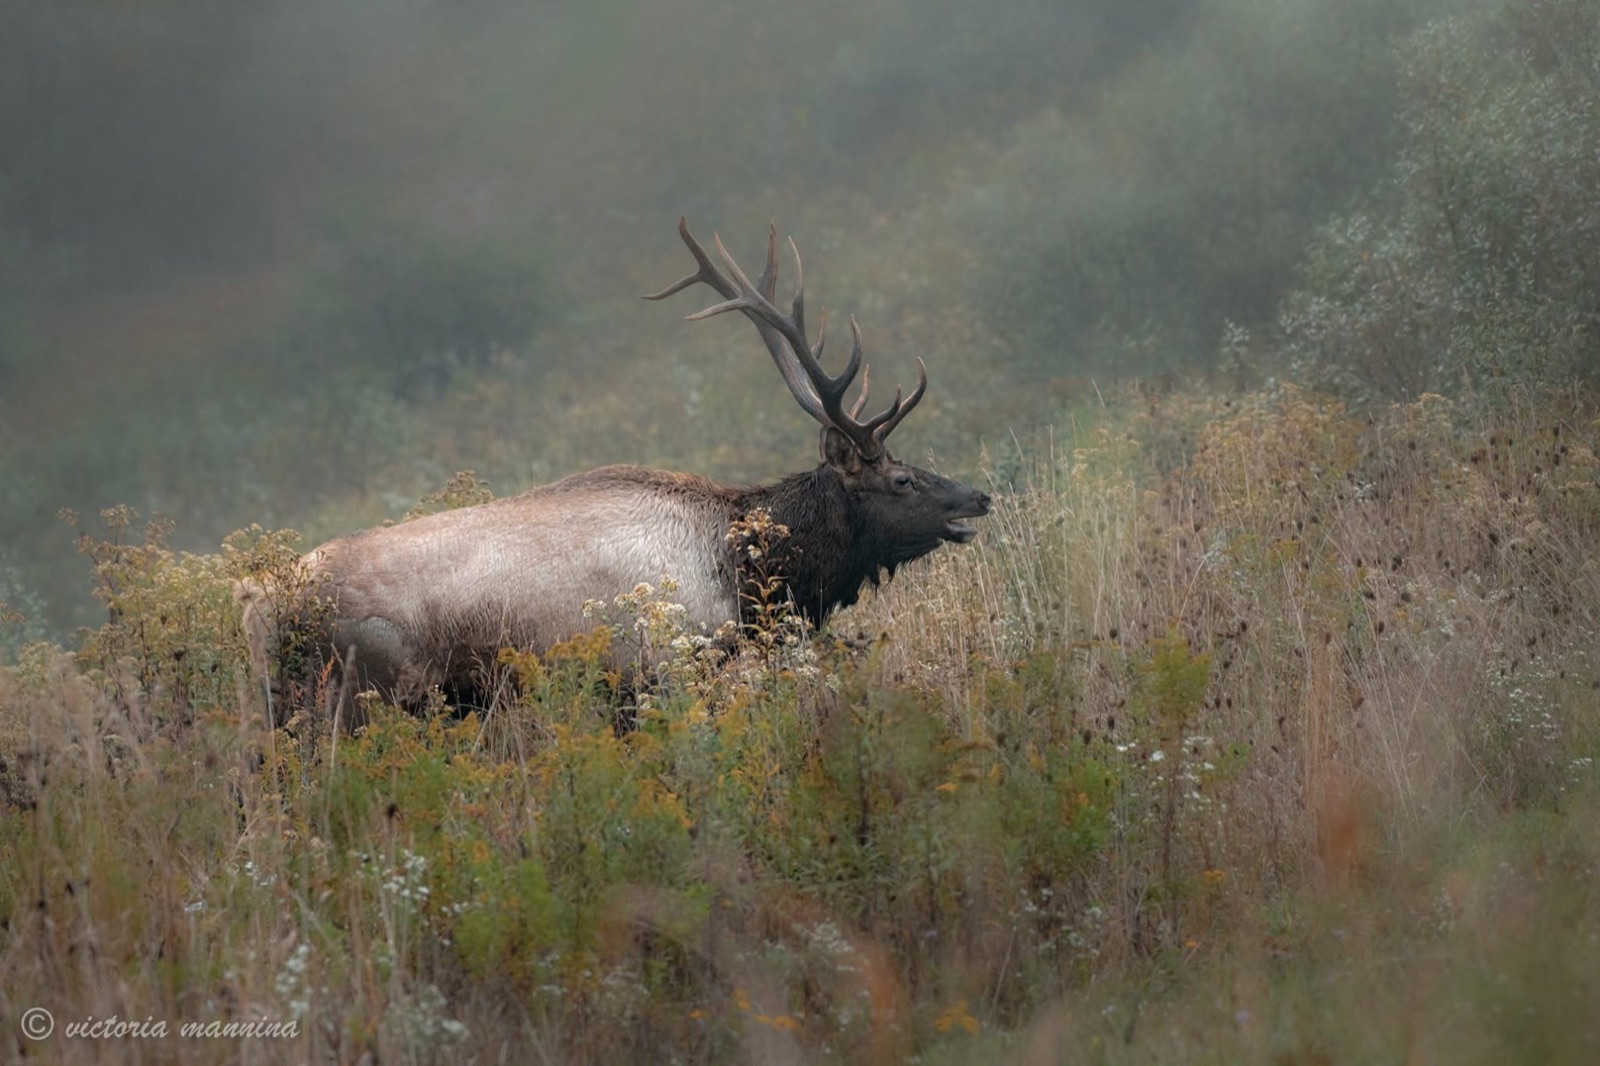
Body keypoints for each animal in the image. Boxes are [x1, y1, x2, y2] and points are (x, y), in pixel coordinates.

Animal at [237, 218, 991, 724]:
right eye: (901, 480)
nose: (977, 497)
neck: (739, 573)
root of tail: (259, 602)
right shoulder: (656, 669)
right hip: (363, 694)